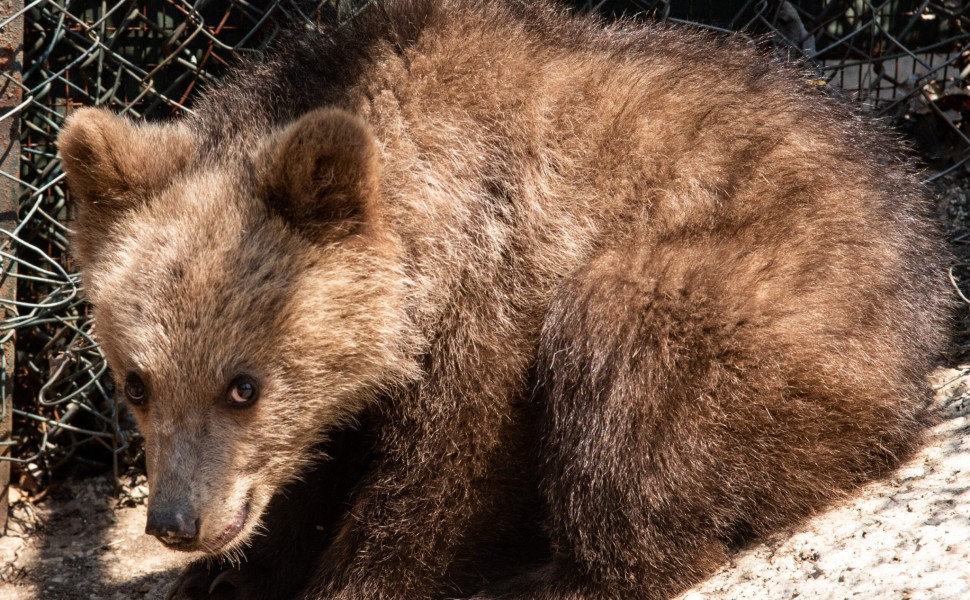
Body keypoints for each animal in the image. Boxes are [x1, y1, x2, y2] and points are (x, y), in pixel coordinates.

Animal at [56, 1, 948, 600]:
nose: (177, 522)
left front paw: (355, 576)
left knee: (632, 366)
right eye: (137, 381)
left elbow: (448, 472)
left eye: (244, 385)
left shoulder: (496, 287)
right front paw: (232, 576)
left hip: (774, 307)